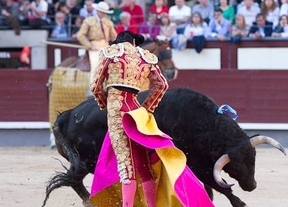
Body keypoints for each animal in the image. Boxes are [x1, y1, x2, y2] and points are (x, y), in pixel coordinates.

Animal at [42, 87, 286, 207]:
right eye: (234, 167)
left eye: (253, 159)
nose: (252, 186)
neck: (203, 123)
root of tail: (67, 115)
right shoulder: (194, 162)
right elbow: (216, 184)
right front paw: (239, 202)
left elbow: (210, 186)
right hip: (85, 161)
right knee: (74, 180)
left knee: (74, 180)